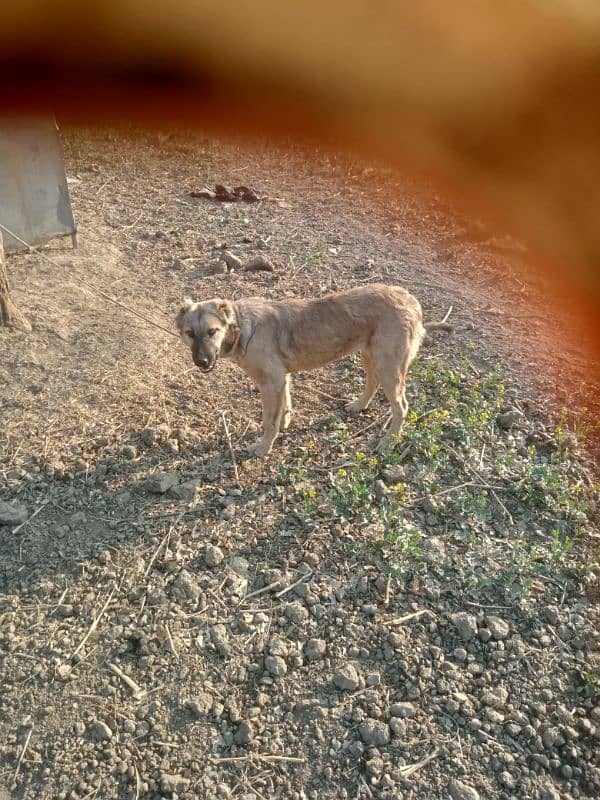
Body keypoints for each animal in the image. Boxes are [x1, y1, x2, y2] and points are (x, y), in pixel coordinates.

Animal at [176, 282, 448, 456]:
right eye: (190, 334)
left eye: (212, 331)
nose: (201, 361)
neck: (242, 327)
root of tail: (411, 301)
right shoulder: (282, 378)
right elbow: (284, 406)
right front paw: (284, 423)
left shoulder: (271, 382)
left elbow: (268, 421)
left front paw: (264, 448)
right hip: (371, 355)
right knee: (372, 382)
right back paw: (359, 405)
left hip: (389, 365)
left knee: (401, 406)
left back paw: (388, 441)